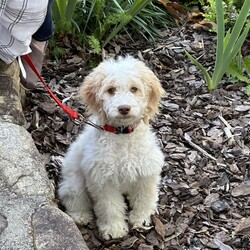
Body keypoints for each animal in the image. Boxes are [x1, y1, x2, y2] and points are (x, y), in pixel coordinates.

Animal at [57, 55, 165, 239]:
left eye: (134, 89)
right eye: (111, 90)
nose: (124, 108)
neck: (122, 134)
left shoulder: (146, 173)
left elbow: (144, 197)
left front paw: (141, 218)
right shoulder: (103, 180)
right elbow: (110, 207)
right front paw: (114, 229)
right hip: (74, 181)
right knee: (72, 196)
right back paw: (81, 215)